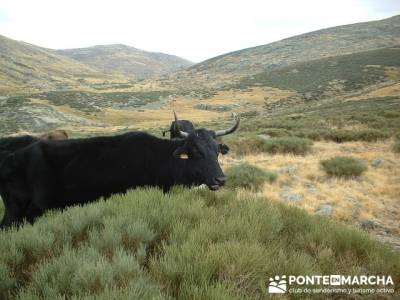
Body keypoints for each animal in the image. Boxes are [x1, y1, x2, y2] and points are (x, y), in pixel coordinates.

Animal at [0, 112, 238, 227]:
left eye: (217, 150)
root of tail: (11, 156)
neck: (159, 157)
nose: (220, 179)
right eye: (196, 151)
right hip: (19, 210)